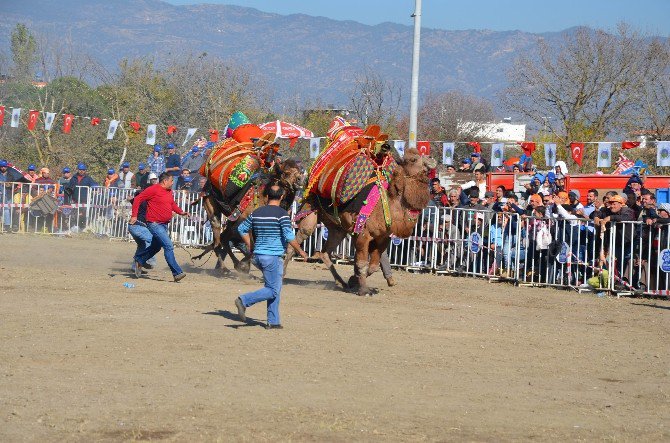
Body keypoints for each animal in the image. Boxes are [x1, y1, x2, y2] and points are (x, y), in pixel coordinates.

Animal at [284, 117, 436, 294]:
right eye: (413, 159)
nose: (431, 158)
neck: (388, 204)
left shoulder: (382, 238)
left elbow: (373, 266)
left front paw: (354, 281)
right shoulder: (364, 234)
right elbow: (362, 263)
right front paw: (363, 289)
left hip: (338, 228)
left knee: (325, 253)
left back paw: (342, 283)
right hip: (310, 211)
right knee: (296, 242)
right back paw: (283, 274)